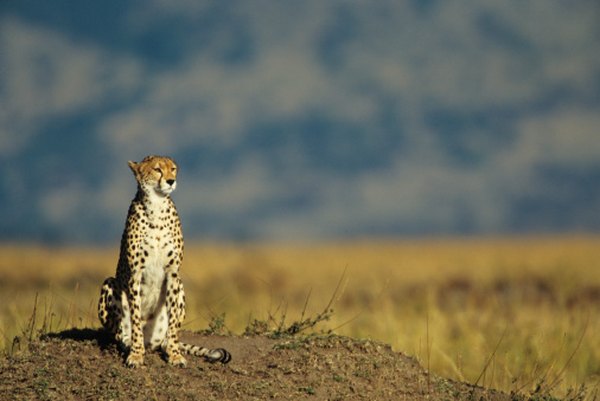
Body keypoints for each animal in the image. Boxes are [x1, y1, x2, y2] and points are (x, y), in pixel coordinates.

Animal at [97, 155, 231, 368]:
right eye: (157, 169)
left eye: (173, 169)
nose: (170, 181)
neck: (156, 206)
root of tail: (151, 341)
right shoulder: (135, 273)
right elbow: (135, 317)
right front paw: (136, 354)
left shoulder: (173, 273)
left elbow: (174, 321)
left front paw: (175, 354)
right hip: (109, 283)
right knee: (119, 333)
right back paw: (129, 343)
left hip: (180, 286)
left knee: (166, 334)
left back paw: (166, 345)